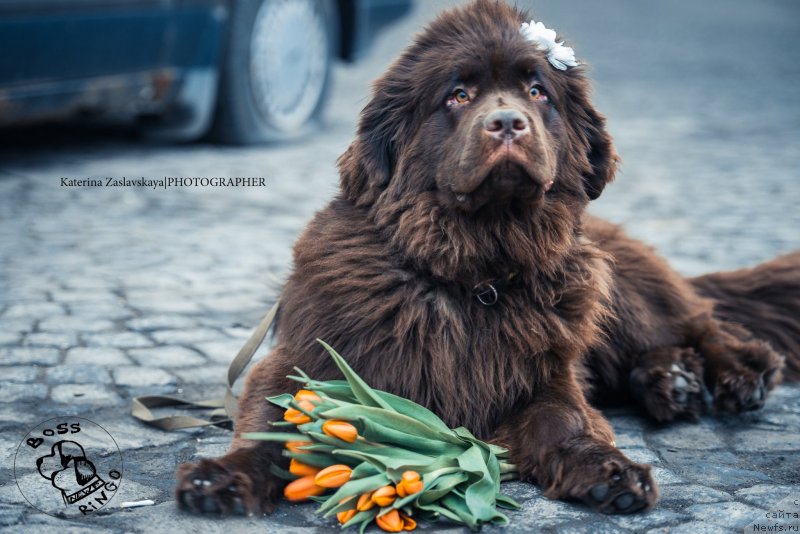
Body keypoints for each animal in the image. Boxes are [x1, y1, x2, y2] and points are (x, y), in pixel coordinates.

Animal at [177, 0, 800, 520]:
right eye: (458, 95)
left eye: (538, 91)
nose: (506, 123)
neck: (473, 274)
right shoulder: (305, 359)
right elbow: (271, 424)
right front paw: (222, 477)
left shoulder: (545, 376)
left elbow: (567, 420)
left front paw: (608, 472)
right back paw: (672, 382)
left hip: (621, 289)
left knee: (705, 325)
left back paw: (733, 376)